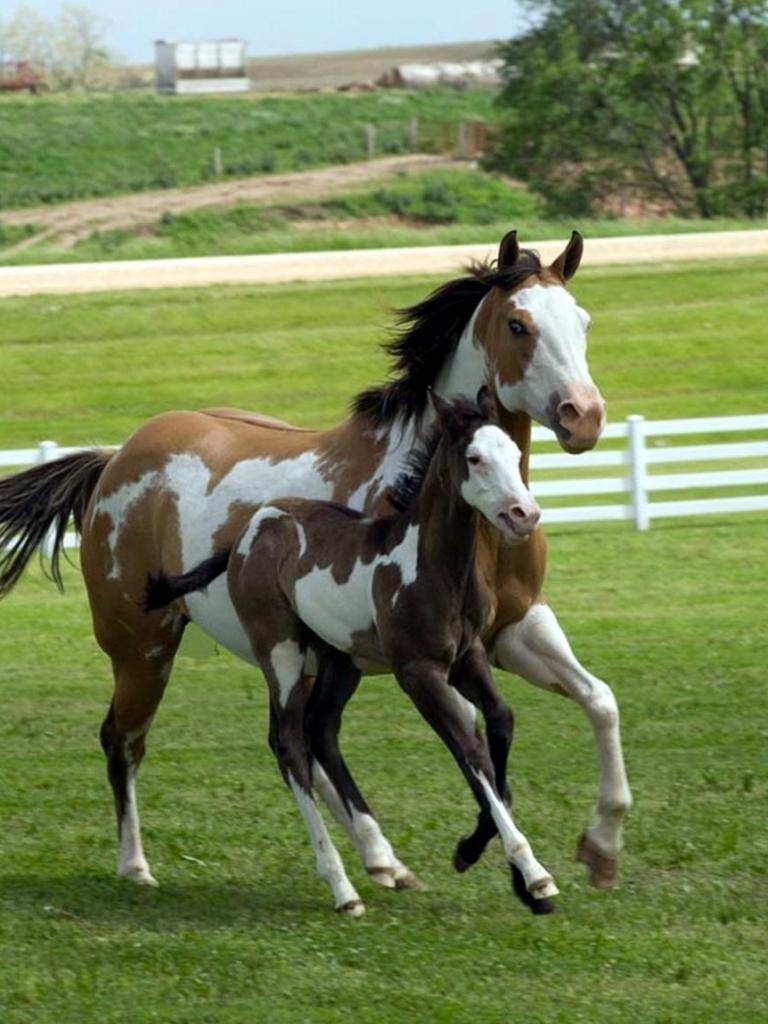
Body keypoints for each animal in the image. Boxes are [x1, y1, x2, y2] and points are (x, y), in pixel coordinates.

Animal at [144, 389, 555, 915]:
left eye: (514, 450)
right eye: (475, 458)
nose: (524, 514)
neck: (432, 567)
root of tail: (250, 530)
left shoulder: (468, 658)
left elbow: (500, 724)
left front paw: (475, 853)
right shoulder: (418, 672)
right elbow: (467, 745)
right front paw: (535, 875)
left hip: (340, 661)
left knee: (322, 729)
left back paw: (380, 861)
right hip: (282, 652)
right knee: (290, 744)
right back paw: (343, 888)